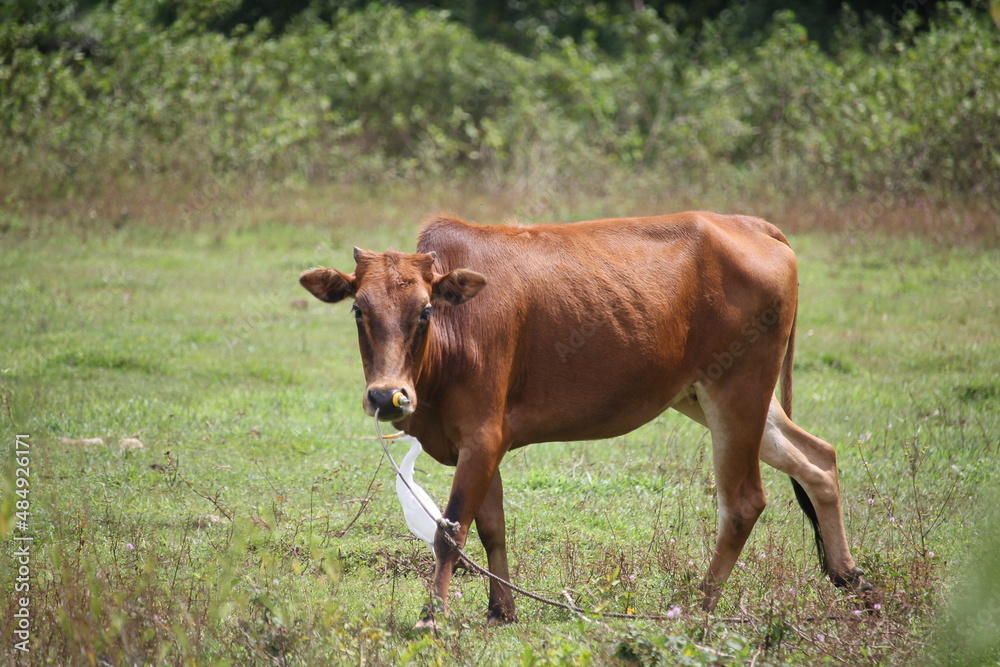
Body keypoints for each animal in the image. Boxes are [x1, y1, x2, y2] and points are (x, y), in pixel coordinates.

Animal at [300, 213, 872, 628]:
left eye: (424, 311)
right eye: (358, 310)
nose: (387, 397)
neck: (451, 339)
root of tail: (755, 224)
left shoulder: (482, 438)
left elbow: (451, 531)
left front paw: (431, 617)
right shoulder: (487, 442)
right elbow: (492, 528)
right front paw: (501, 610)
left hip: (739, 391)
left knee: (743, 502)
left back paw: (697, 609)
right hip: (707, 395)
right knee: (819, 458)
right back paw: (848, 575)